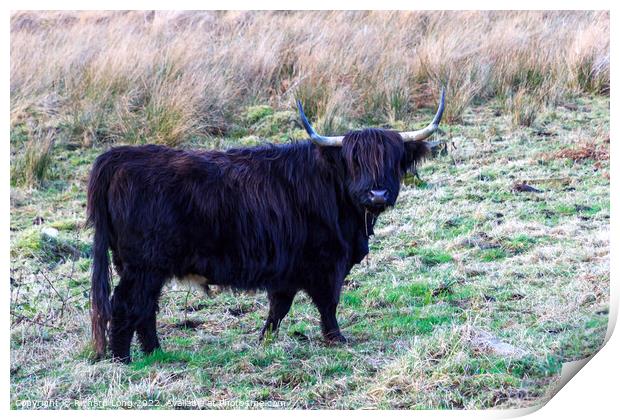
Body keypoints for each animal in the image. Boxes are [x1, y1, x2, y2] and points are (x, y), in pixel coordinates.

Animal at [87, 88, 446, 360]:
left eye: (393, 159)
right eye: (354, 161)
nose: (378, 193)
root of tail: (119, 156)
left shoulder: (288, 267)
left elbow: (279, 307)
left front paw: (265, 340)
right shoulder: (325, 262)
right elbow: (327, 303)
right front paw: (336, 339)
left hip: (143, 266)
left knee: (145, 307)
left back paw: (155, 353)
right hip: (144, 264)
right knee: (126, 305)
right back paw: (123, 359)